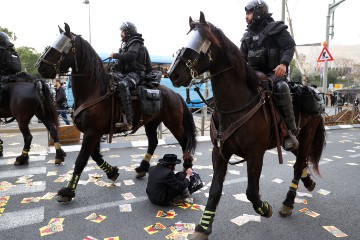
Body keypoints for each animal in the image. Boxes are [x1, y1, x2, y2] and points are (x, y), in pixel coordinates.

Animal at [35, 23, 198, 202]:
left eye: (62, 46)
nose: (41, 67)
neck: (94, 90)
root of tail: (174, 94)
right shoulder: (93, 133)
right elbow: (95, 156)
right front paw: (112, 172)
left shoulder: (92, 132)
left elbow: (81, 160)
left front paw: (68, 190)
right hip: (151, 122)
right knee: (153, 142)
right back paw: (143, 168)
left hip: (173, 123)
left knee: (184, 141)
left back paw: (187, 168)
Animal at [169, 12, 326, 239]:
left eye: (199, 42)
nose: (173, 74)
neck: (235, 106)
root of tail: (315, 93)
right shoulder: (219, 153)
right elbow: (215, 190)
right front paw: (203, 227)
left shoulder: (255, 154)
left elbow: (251, 191)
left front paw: (265, 208)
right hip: (291, 142)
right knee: (300, 159)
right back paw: (309, 182)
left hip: (306, 135)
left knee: (298, 164)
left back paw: (288, 202)